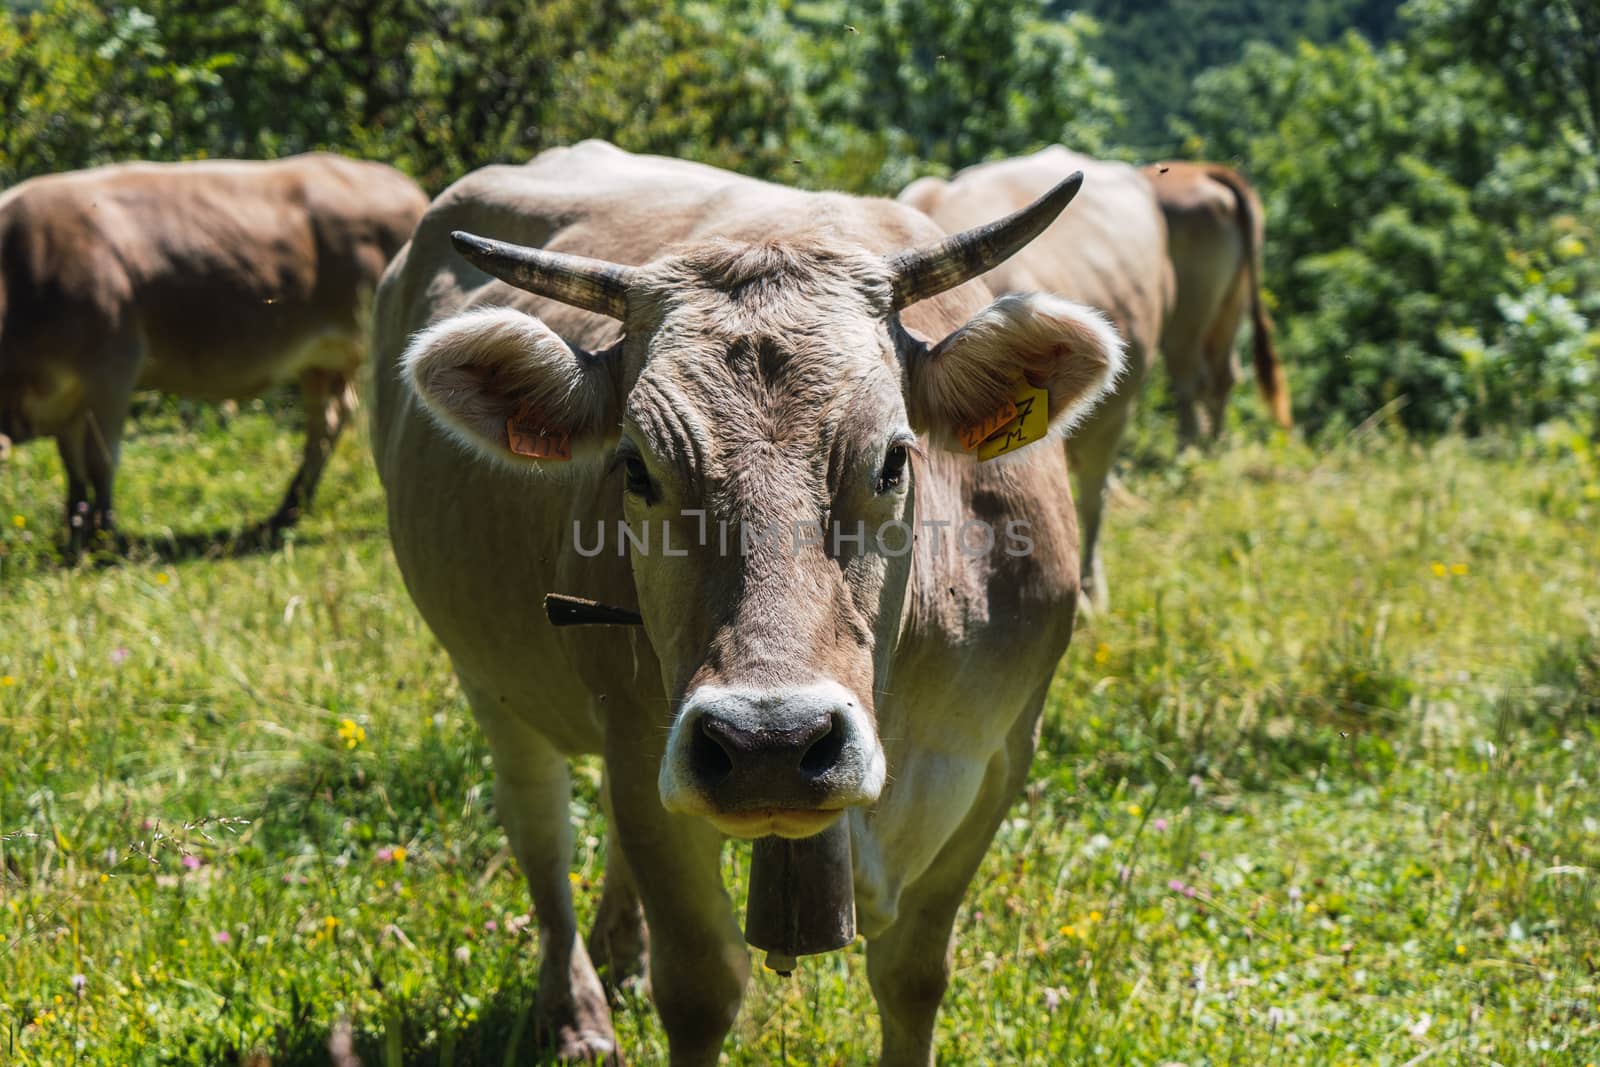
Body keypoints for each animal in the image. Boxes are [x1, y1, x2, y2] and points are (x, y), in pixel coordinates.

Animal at [0, 154, 428, 556]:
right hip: (320, 359)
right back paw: (284, 513)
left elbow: (100, 459)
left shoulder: (111, 369)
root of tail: (405, 186)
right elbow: (71, 466)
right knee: (327, 421)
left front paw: (105, 538)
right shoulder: (65, 396)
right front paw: (74, 535)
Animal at [372, 139, 1126, 1062]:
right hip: (492, 680)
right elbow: (699, 988)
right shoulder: (642, 753)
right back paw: (577, 1008)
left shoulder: (999, 757)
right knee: (540, 831)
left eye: (893, 458)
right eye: (635, 467)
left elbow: (914, 975)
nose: (772, 741)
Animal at [1145, 159, 1292, 441]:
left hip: (1186, 314)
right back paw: (1215, 443)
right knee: (1222, 376)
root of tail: (1209, 171)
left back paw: (1189, 445)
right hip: (1231, 303)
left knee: (1189, 379)